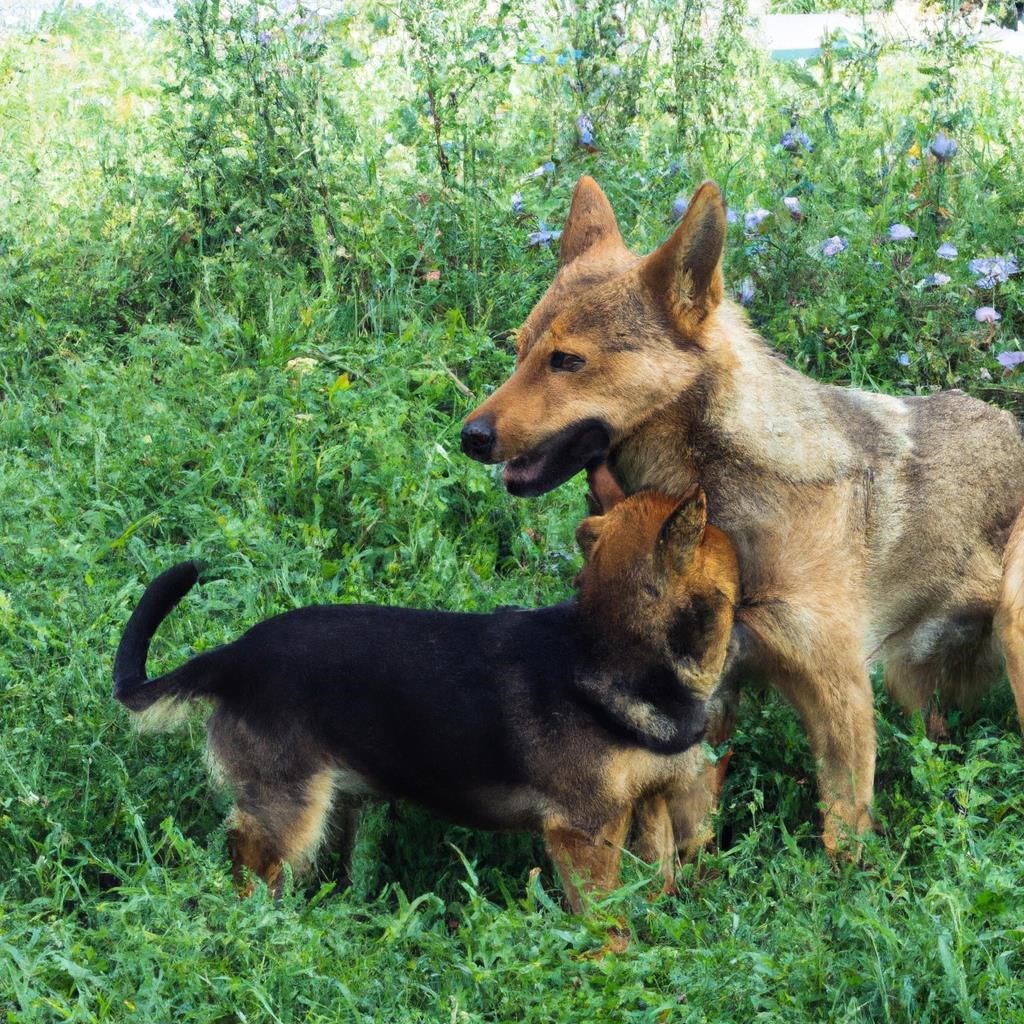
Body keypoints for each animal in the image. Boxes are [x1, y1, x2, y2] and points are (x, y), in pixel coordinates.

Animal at [114, 487, 737, 913]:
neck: (604, 646)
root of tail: (232, 656)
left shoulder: (651, 802)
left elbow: (657, 877)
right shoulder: (581, 832)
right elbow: (602, 914)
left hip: (342, 805)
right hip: (287, 813)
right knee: (249, 873)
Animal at [464, 176, 1024, 856]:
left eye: (567, 361)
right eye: (520, 351)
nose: (470, 436)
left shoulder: (838, 695)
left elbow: (843, 845)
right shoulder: (711, 703)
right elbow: (691, 840)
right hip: (914, 687)